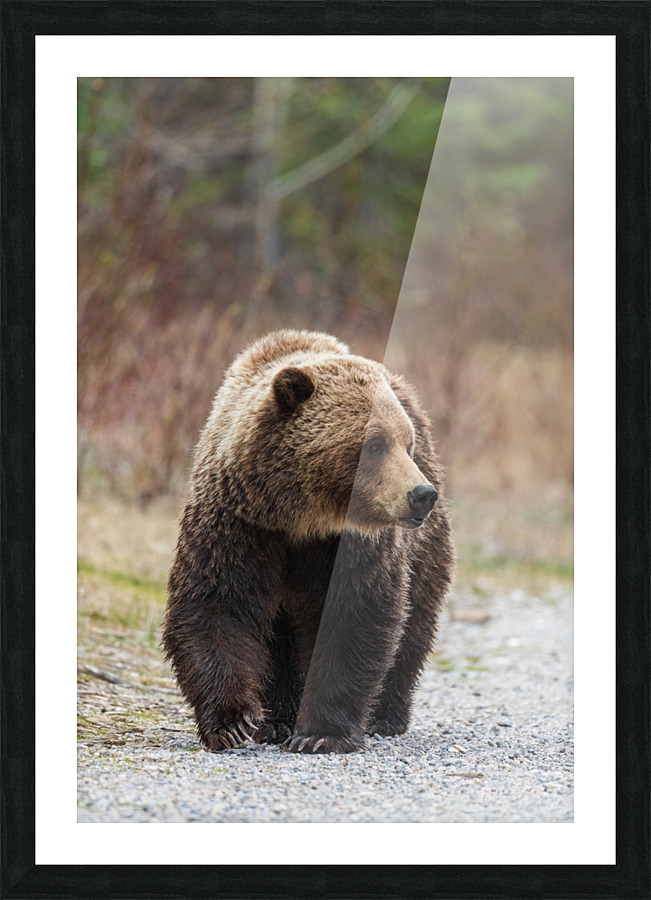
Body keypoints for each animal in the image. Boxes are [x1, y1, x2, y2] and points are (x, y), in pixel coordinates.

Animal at [163, 329, 454, 753]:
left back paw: (384, 716)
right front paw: (233, 723)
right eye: (376, 443)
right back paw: (278, 720)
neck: (301, 517)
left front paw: (321, 733)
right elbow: (216, 604)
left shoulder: (354, 545)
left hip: (424, 550)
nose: (421, 494)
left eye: (407, 443)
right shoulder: (237, 524)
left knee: (414, 621)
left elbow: (353, 615)